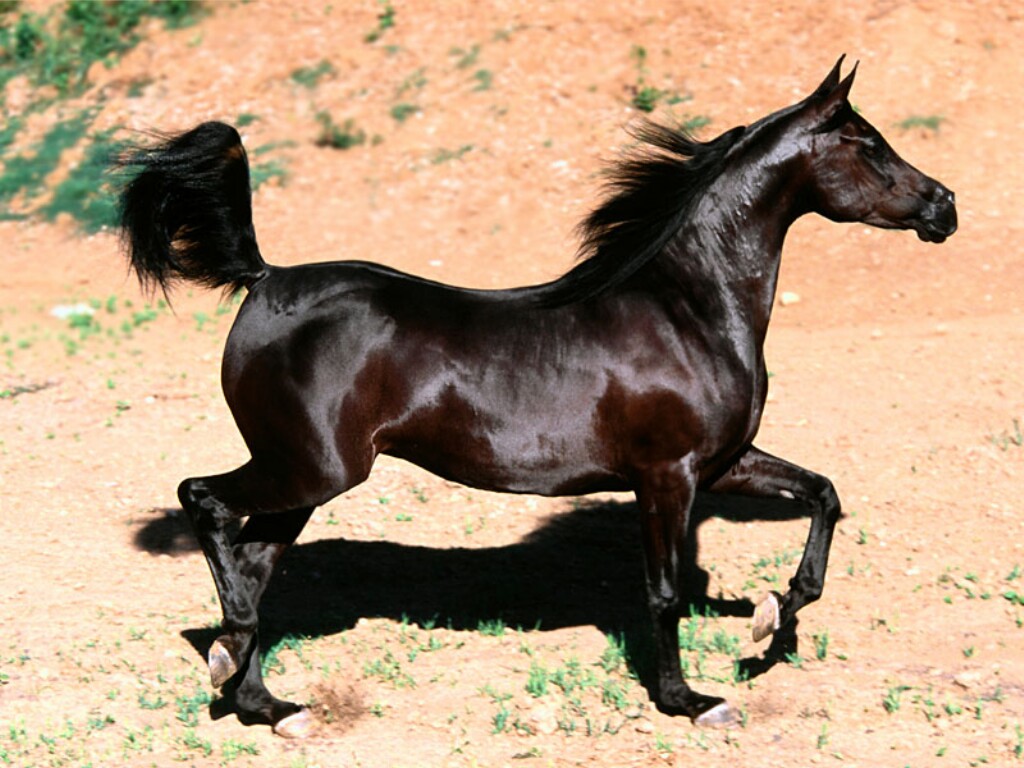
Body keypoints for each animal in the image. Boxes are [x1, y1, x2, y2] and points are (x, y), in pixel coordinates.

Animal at [118, 56, 956, 737]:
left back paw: (266, 702)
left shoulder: (723, 462)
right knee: (204, 502)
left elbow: (823, 494)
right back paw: (230, 656)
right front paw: (691, 700)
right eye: (868, 143)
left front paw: (770, 618)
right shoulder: (668, 476)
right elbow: (664, 592)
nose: (944, 206)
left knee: (254, 561)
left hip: (305, 480)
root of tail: (264, 280)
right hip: (310, 468)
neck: (687, 308)